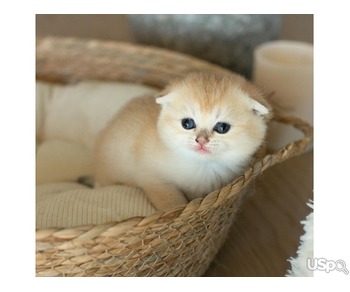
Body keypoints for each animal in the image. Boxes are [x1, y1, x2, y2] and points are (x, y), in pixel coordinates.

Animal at [94, 72, 272, 211]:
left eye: (222, 127)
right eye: (187, 123)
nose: (201, 140)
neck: (202, 167)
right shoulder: (153, 178)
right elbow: (173, 203)